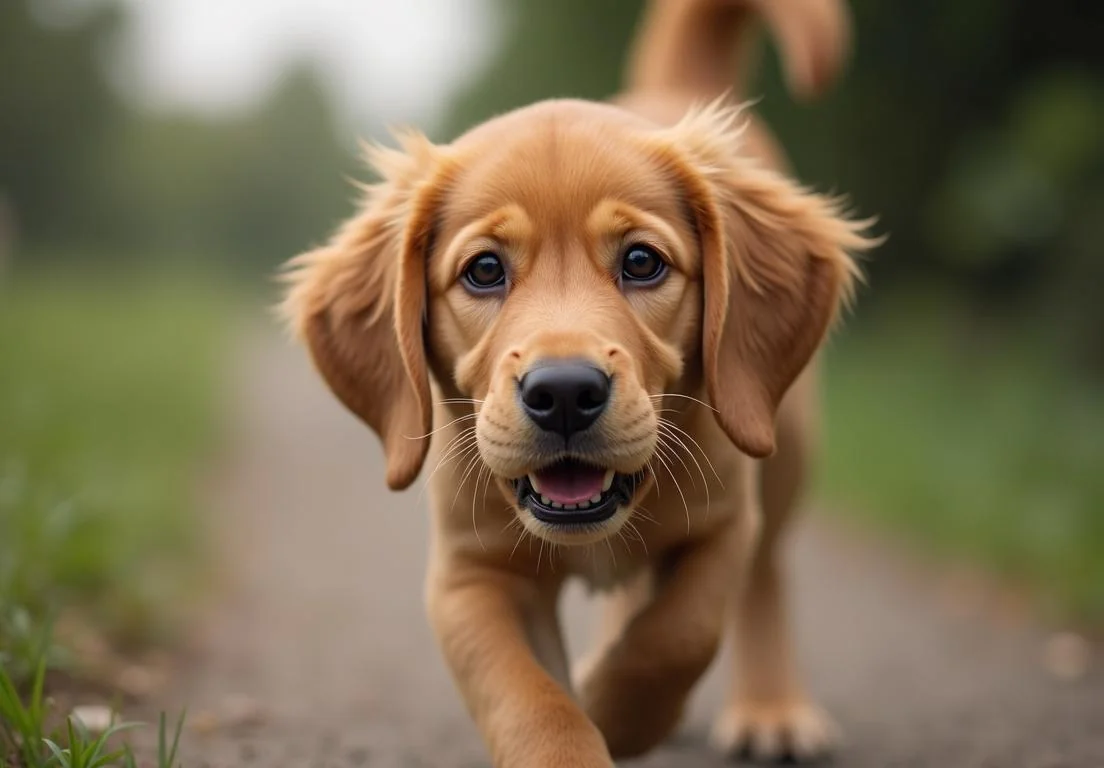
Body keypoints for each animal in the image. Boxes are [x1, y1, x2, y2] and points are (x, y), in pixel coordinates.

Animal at [282, 0, 878, 763]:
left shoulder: (725, 525)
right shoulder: (472, 573)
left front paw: (616, 709)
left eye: (643, 262)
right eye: (484, 270)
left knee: (767, 570)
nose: (563, 393)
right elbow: (528, 698)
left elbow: (678, 634)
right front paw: (581, 717)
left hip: (783, 440)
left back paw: (770, 707)